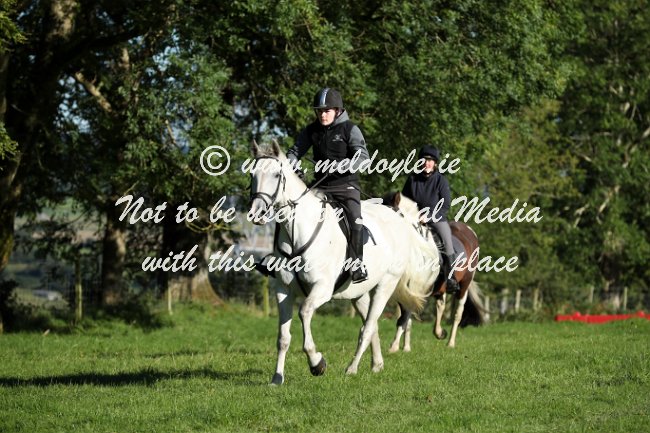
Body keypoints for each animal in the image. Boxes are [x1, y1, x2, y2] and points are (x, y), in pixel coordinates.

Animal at [248, 141, 439, 385]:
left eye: (275, 175)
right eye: (252, 174)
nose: (257, 214)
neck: (297, 232)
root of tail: (398, 219)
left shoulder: (322, 288)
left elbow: (305, 312)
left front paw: (317, 363)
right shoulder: (283, 289)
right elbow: (283, 337)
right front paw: (277, 378)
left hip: (385, 286)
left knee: (368, 327)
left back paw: (352, 368)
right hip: (358, 294)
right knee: (371, 326)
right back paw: (377, 364)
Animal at [383, 191, 487, 350]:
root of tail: (469, 230)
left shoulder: (415, 289)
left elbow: (404, 318)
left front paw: (393, 347)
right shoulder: (405, 291)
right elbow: (407, 318)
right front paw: (406, 348)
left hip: (465, 284)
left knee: (457, 314)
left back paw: (450, 343)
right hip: (441, 288)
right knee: (441, 305)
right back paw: (439, 332)